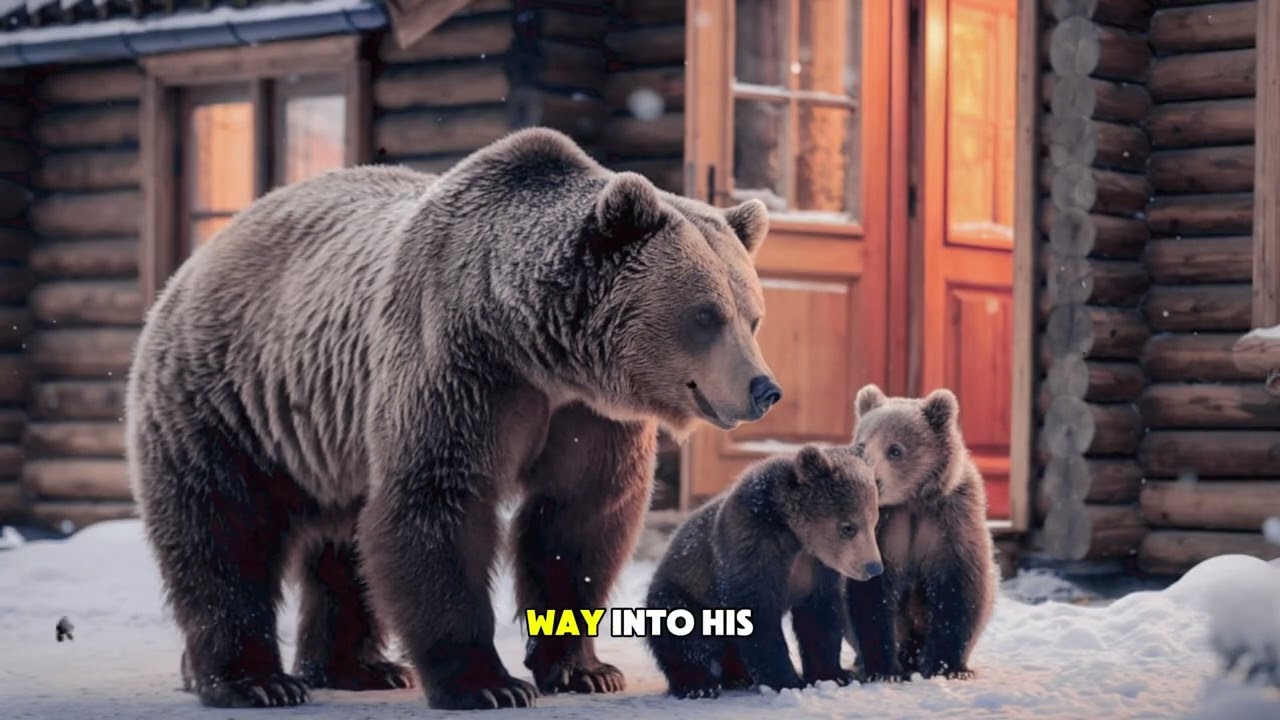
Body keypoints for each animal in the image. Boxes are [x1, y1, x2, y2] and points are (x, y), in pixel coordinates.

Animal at [124, 127, 785, 710]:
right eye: (705, 315)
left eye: (752, 315)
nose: (765, 389)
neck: (538, 348)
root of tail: (199, 258)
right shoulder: (460, 370)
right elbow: (439, 504)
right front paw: (486, 684)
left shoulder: (590, 416)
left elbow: (579, 520)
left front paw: (585, 670)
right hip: (230, 400)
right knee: (223, 530)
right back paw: (253, 680)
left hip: (333, 439)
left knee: (344, 544)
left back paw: (356, 668)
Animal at [645, 445, 883, 699]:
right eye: (848, 527)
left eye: (873, 522)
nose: (873, 567)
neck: (794, 536)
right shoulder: (753, 547)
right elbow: (759, 618)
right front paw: (787, 681)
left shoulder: (816, 568)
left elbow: (819, 618)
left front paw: (832, 675)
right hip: (686, 594)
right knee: (684, 639)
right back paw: (698, 684)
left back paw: (738, 676)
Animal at [841, 385, 997, 682]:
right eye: (862, 446)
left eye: (895, 450)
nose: (871, 480)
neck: (910, 502)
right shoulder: (881, 530)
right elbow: (871, 594)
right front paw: (884, 669)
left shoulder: (949, 522)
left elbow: (958, 588)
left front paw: (946, 666)